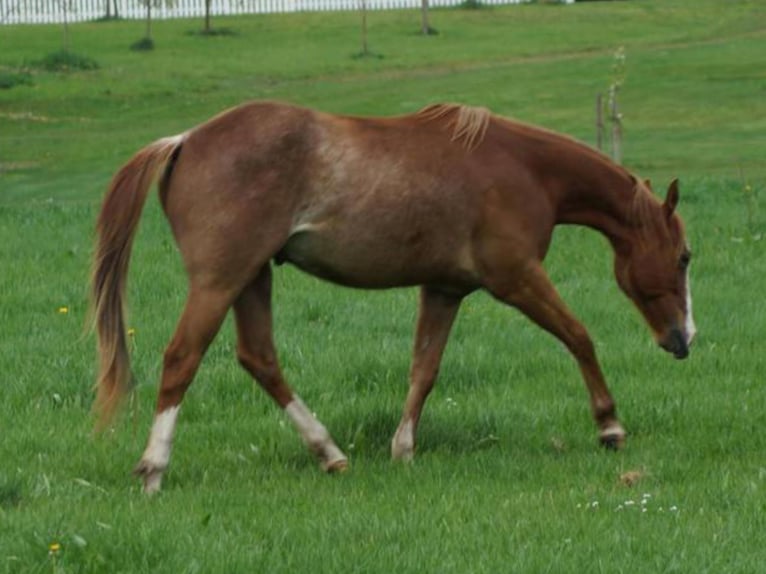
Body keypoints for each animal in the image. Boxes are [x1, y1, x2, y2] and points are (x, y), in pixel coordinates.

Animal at [92, 101, 695, 493]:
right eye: (685, 257)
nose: (683, 339)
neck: (523, 168)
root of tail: (184, 140)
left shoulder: (445, 289)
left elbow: (423, 370)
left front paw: (403, 449)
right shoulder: (518, 279)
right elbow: (579, 336)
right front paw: (609, 425)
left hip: (252, 278)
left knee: (259, 358)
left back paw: (330, 454)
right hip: (221, 281)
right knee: (181, 359)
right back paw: (153, 469)